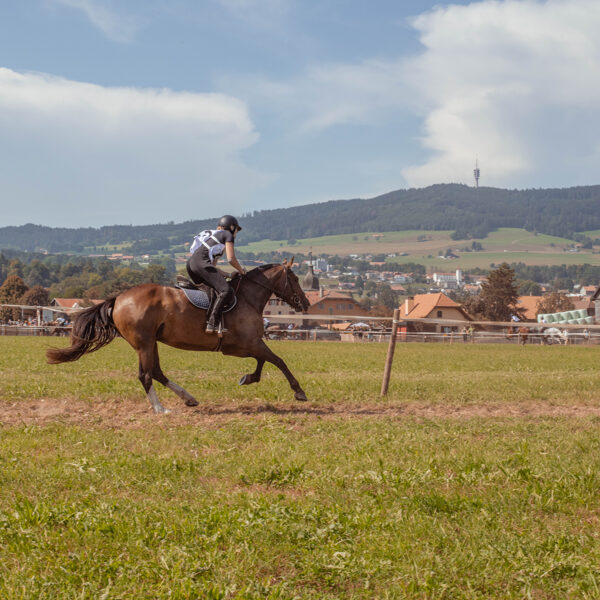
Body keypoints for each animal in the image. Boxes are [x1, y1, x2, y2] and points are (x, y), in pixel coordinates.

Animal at [46, 260, 310, 414]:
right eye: (295, 279)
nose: (306, 304)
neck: (247, 297)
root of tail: (118, 298)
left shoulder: (247, 345)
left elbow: (264, 361)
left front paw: (248, 378)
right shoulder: (246, 344)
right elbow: (277, 361)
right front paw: (299, 392)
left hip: (151, 342)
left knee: (156, 372)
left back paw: (188, 398)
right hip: (144, 343)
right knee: (145, 375)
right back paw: (160, 409)